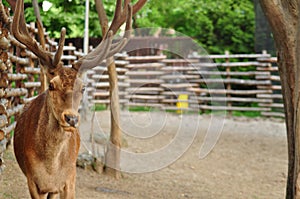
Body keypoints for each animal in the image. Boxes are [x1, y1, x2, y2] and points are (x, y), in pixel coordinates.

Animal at [11, 0, 132, 197]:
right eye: (52, 85)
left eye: (83, 87)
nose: (71, 119)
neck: (51, 172)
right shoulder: (32, 182)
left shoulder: (70, 179)